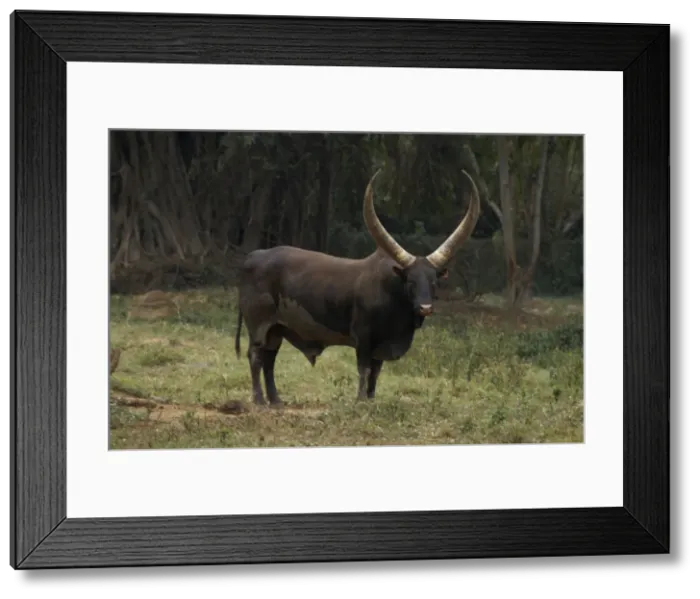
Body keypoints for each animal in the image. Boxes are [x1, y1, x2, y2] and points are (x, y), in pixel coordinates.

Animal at [234, 168, 481, 407]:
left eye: (434, 282)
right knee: (255, 357)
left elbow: (376, 372)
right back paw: (259, 400)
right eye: (410, 281)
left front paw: (371, 398)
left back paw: (276, 400)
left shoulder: (382, 344)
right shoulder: (363, 336)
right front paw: (361, 400)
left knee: (269, 360)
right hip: (259, 325)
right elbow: (364, 368)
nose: (425, 308)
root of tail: (252, 258)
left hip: (276, 330)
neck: (391, 295)